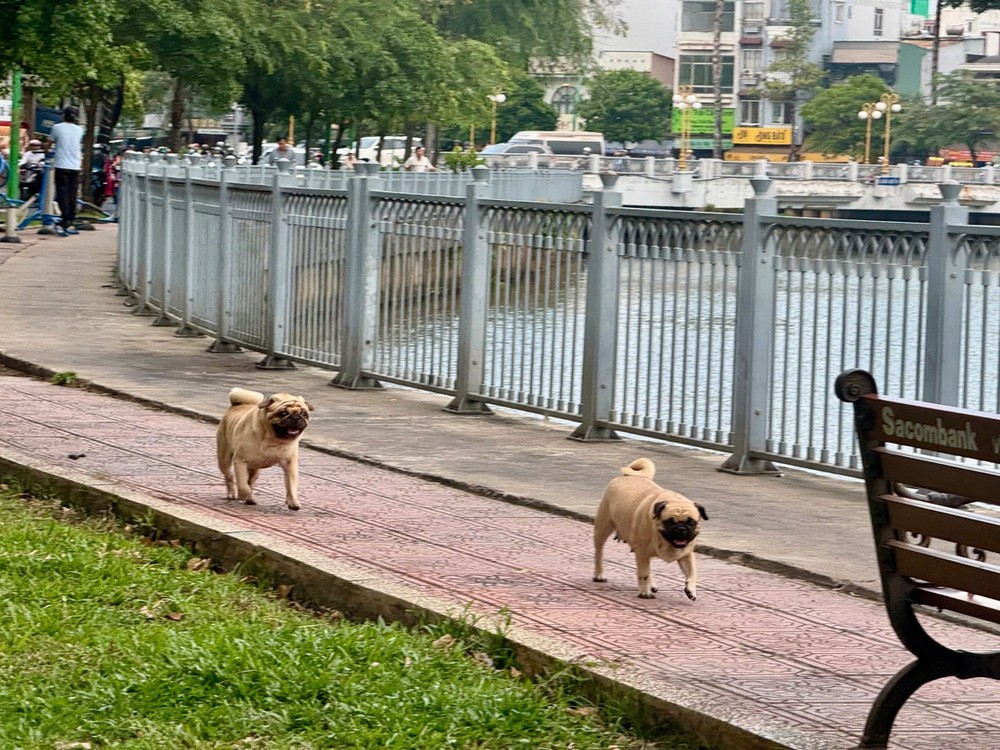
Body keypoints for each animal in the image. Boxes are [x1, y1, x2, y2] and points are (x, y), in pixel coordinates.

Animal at [592, 458, 712, 600]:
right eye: (669, 522)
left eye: (692, 522)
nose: (681, 528)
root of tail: (626, 475)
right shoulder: (642, 553)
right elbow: (643, 573)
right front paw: (645, 592)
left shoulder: (686, 555)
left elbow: (693, 572)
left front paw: (691, 589)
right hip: (603, 528)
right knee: (599, 553)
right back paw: (599, 574)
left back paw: (652, 584)